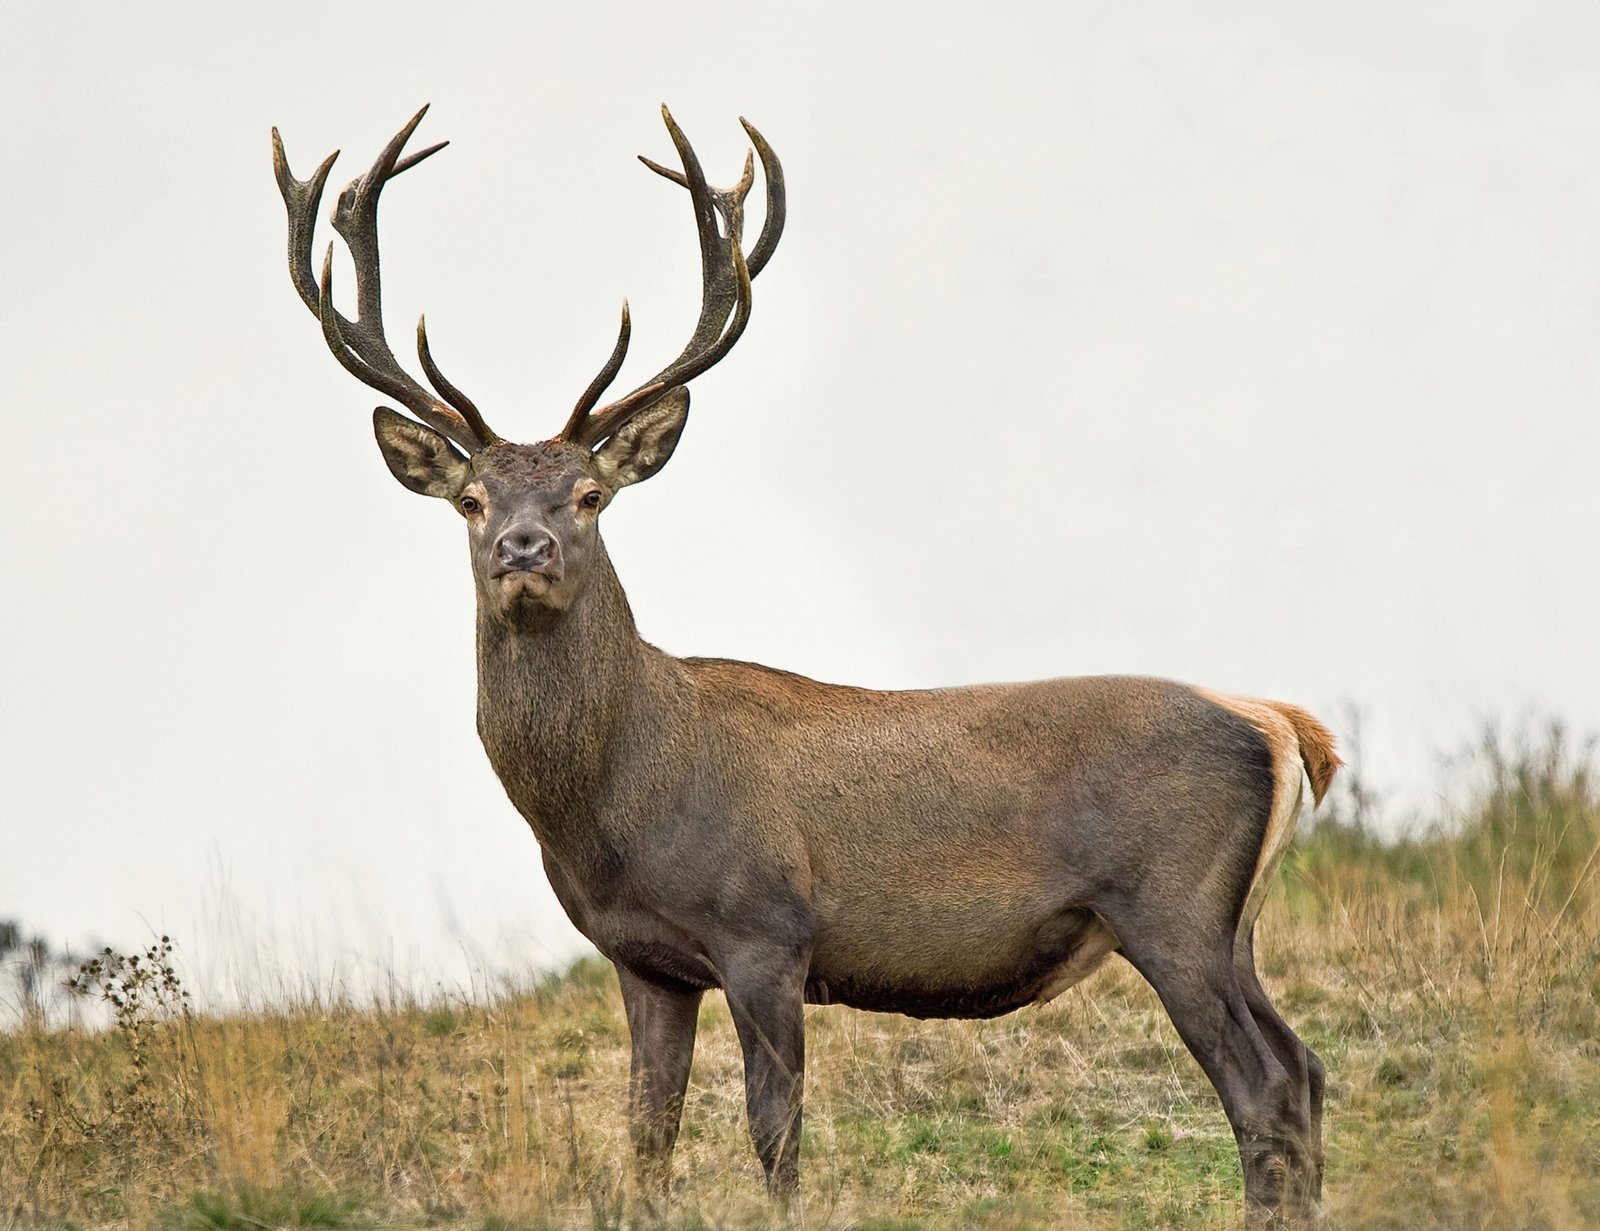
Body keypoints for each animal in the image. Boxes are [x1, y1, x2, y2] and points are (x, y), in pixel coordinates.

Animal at [272, 105, 1340, 1226]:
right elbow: (646, 1134)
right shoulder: (643, 960)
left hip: (1173, 905)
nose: (527, 547)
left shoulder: (765, 928)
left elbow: (772, 1128)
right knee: (1303, 1067)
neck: (613, 803)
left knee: (1262, 1083)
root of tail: (1282, 726)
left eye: (590, 495)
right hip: (1233, 923)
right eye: (471, 500)